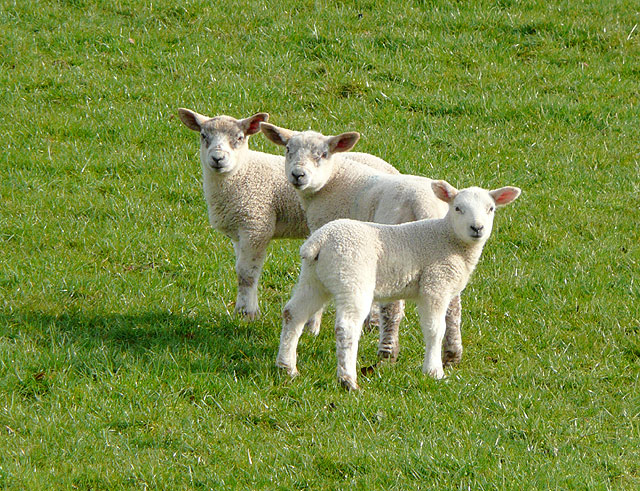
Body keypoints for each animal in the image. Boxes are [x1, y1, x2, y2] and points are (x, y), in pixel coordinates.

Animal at [178, 108, 398, 321]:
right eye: (203, 135)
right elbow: (241, 270)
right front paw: (246, 309)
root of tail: (391, 169)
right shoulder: (239, 232)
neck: (242, 173)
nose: (217, 159)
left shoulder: (256, 225)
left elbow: (247, 273)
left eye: (239, 137)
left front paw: (247, 313)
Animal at [260, 123, 463, 365]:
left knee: (393, 308)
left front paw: (312, 326)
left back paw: (387, 352)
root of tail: (425, 205)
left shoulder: (324, 231)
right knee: (453, 306)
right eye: (288, 149)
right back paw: (452, 354)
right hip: (446, 250)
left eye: (323, 154)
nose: (298, 175)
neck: (332, 180)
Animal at [277, 180, 521, 390]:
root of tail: (320, 240)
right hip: (352, 276)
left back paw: (287, 367)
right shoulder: (435, 284)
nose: (477, 228)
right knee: (347, 327)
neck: (448, 238)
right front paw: (434, 371)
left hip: (314, 278)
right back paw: (348, 380)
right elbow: (435, 328)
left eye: (491, 208)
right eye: (458, 208)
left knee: (293, 313)